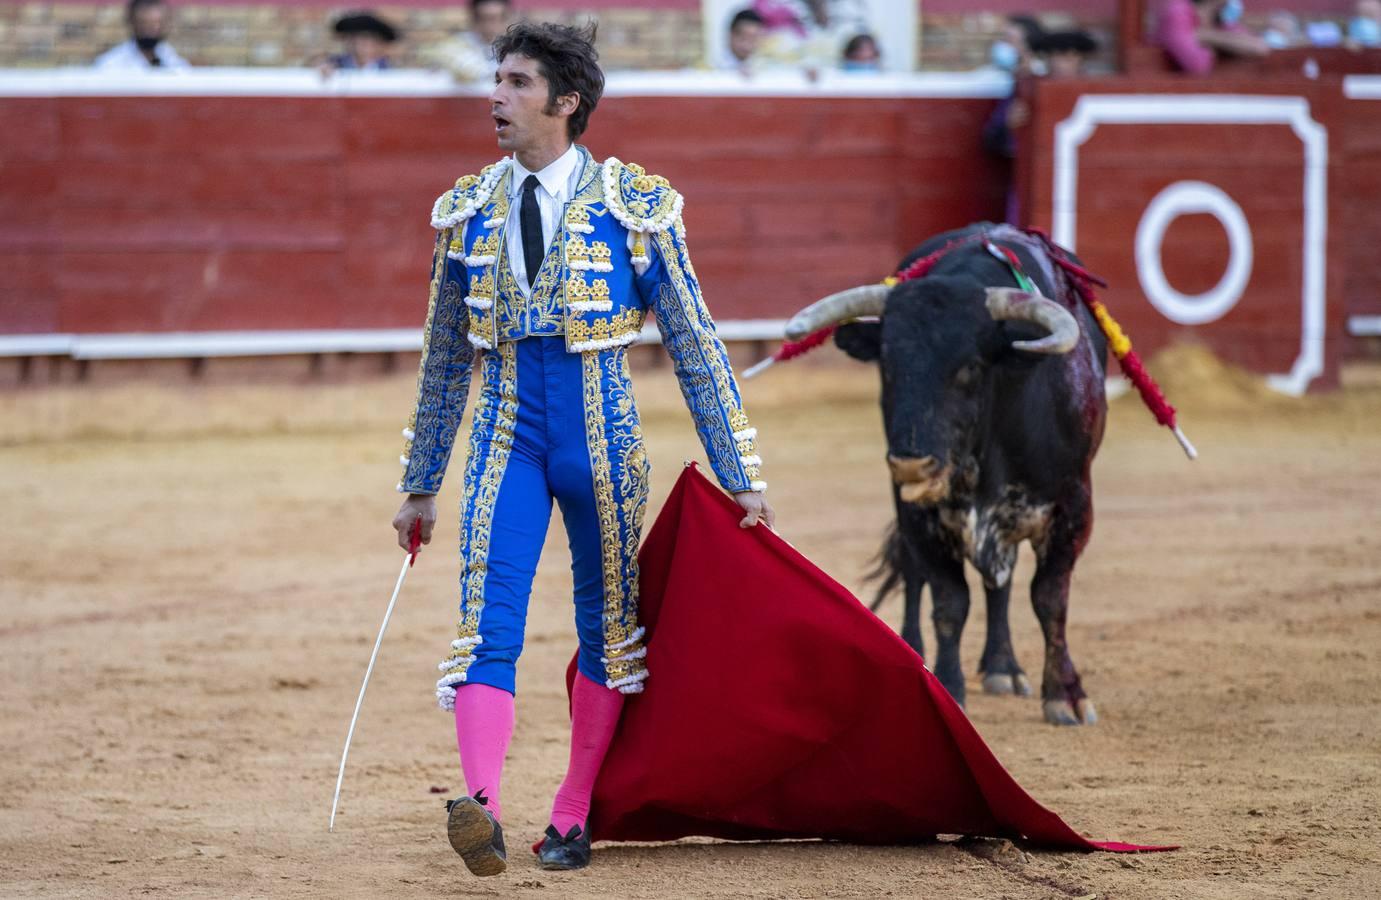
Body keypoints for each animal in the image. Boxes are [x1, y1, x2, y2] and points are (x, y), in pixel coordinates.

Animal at [789, 223, 1110, 723]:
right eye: (887, 365)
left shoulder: (1073, 507)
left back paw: (1002, 667)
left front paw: (1065, 694)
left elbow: (1049, 598)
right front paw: (946, 686)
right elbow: (949, 602)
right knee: (919, 573)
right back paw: (916, 651)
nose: (910, 462)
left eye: (971, 367)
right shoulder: (921, 515)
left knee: (1001, 581)